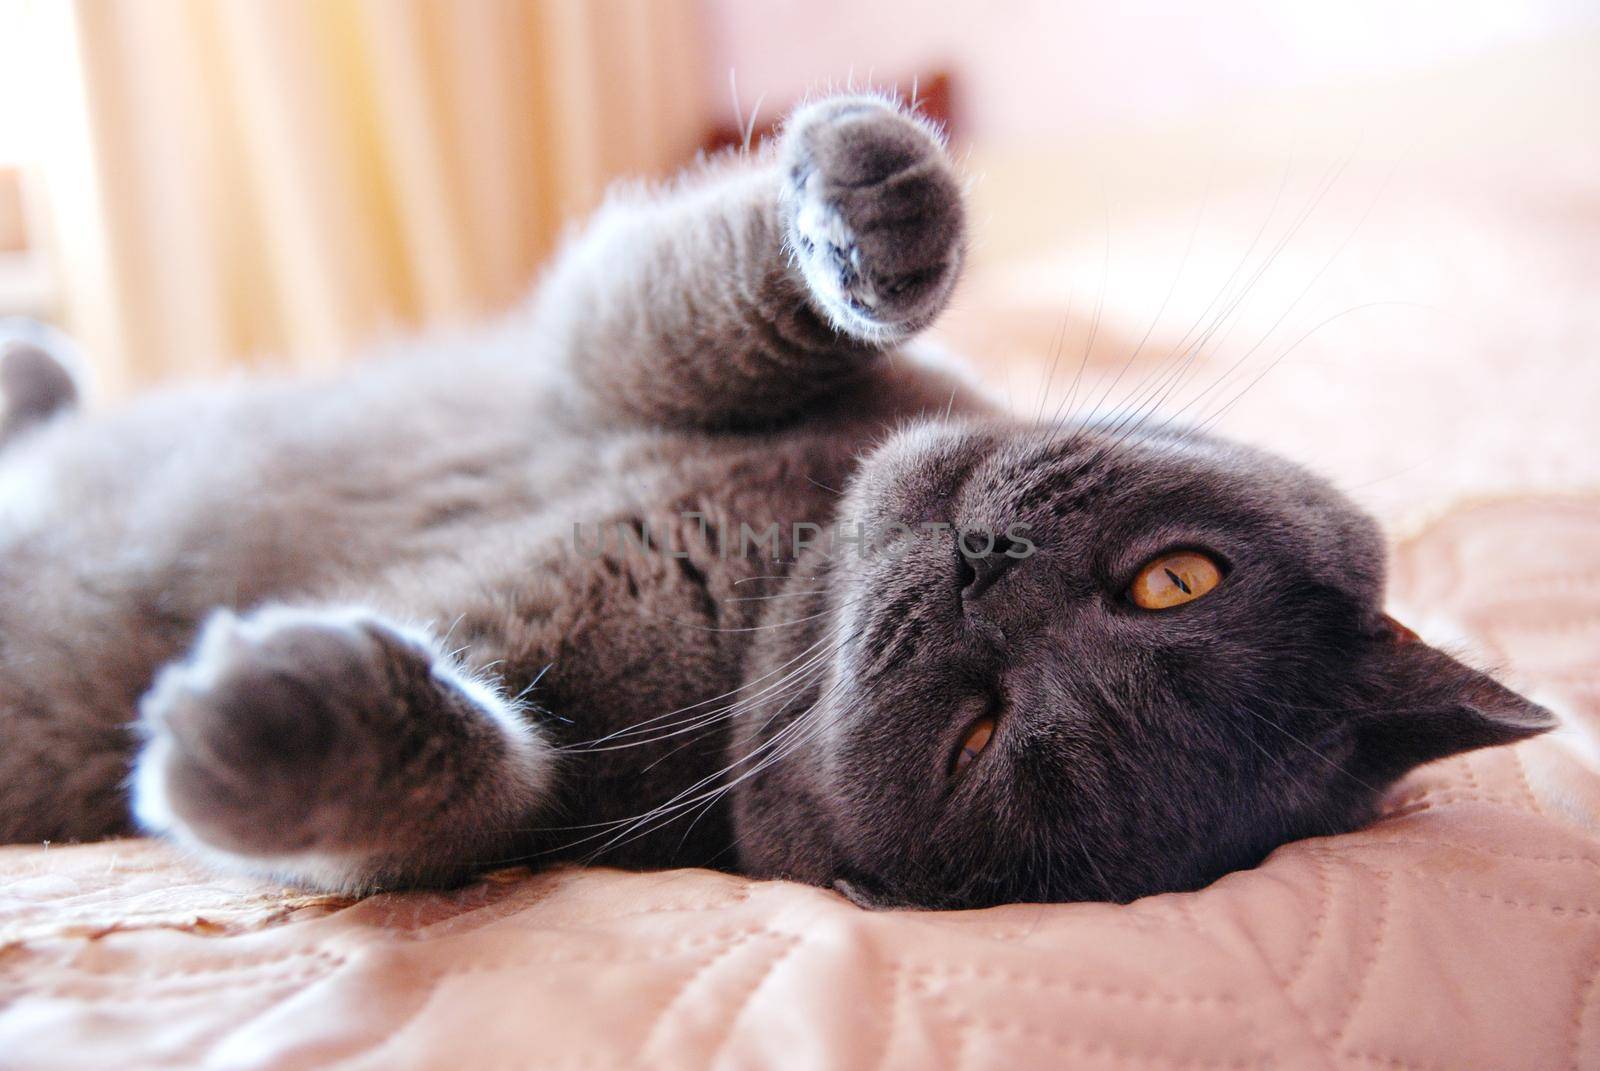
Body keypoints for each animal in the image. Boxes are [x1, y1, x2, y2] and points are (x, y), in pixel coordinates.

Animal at [0, 96, 1548, 909]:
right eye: (1177, 575)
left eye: (980, 736)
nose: (988, 568)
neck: (766, 552)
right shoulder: (622, 364)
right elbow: (717, 301)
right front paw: (881, 200)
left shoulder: (568, 811)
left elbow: (466, 793)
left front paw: (261, 719)